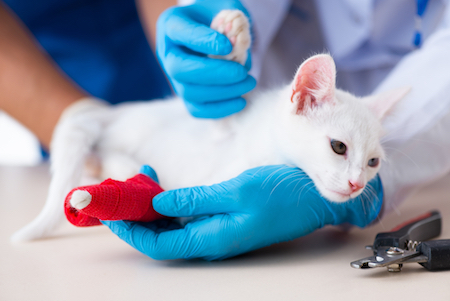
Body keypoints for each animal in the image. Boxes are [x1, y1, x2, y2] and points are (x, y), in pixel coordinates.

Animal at [10, 9, 412, 241]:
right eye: (338, 147)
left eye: (373, 163)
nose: (356, 183)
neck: (268, 152)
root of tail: (117, 114)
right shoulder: (223, 126)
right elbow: (221, 109)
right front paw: (231, 36)